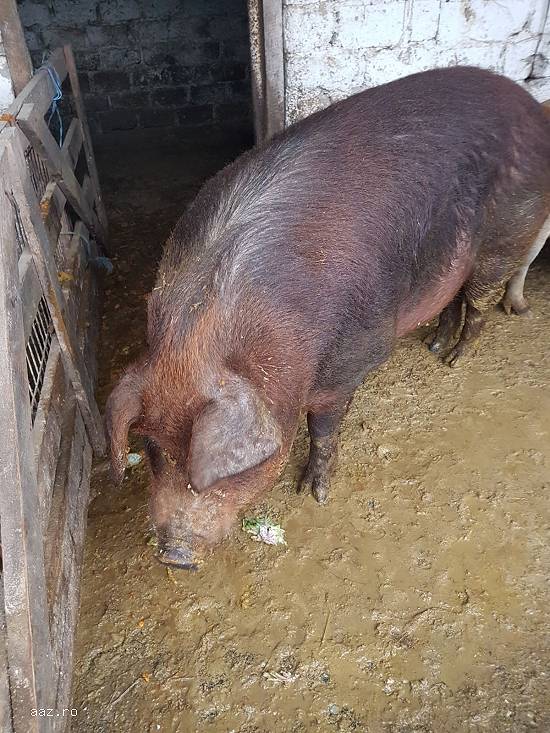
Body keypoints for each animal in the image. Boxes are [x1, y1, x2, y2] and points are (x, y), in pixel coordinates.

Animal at [106, 67, 550, 568]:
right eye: (152, 448)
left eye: (220, 472)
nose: (174, 555)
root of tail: (529, 105)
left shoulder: (349, 361)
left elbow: (323, 429)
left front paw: (312, 494)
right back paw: (435, 346)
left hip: (506, 236)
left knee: (480, 300)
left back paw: (454, 359)